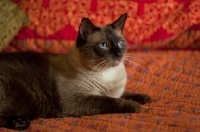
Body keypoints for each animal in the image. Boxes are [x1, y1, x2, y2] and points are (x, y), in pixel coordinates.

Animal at [0, 13, 151, 130]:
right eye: (104, 45)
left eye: (120, 43)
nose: (119, 54)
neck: (107, 74)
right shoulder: (77, 100)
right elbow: (110, 101)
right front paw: (134, 106)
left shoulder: (116, 91)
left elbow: (126, 93)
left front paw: (145, 99)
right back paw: (21, 124)